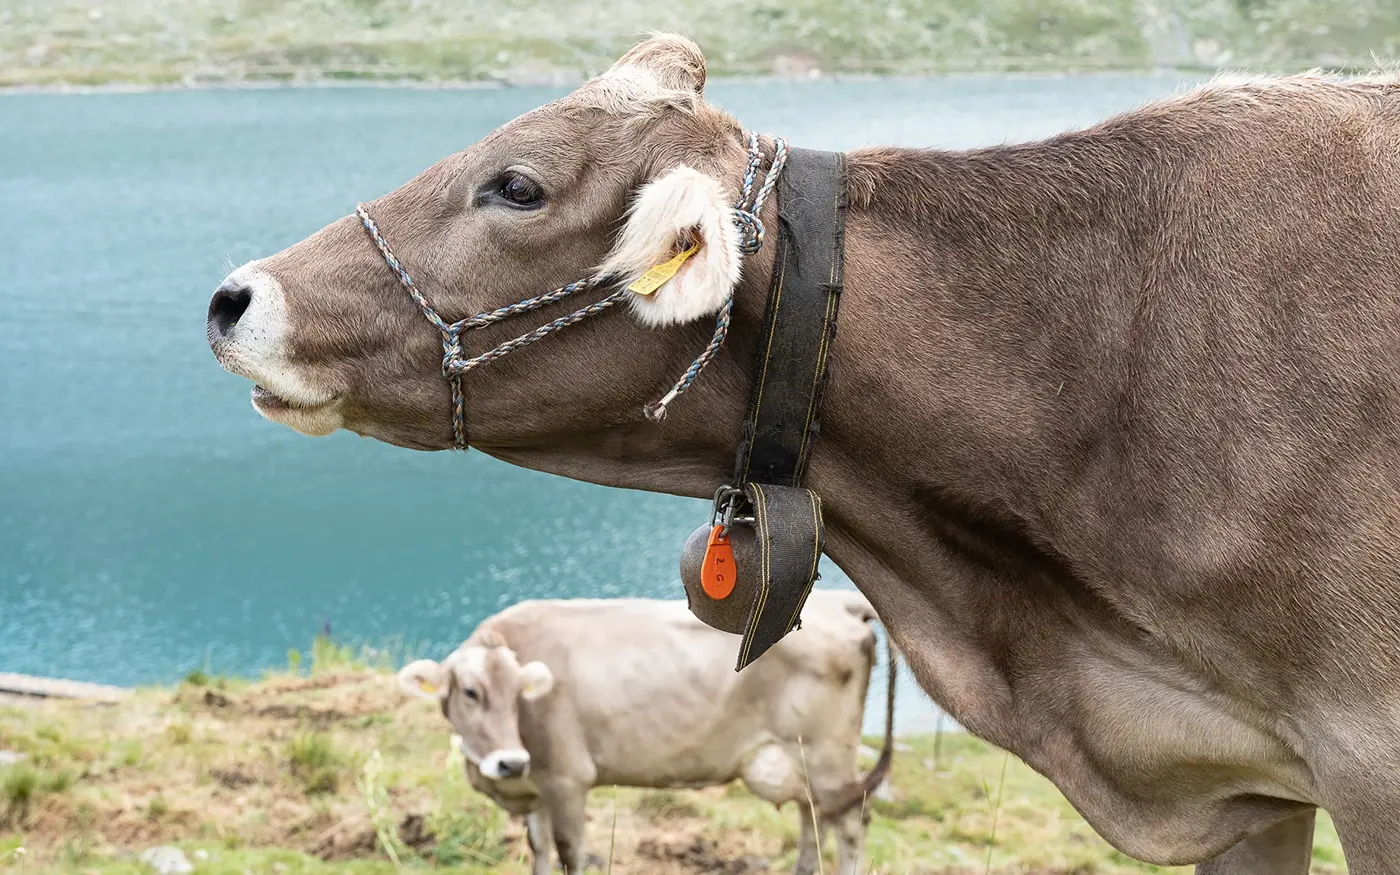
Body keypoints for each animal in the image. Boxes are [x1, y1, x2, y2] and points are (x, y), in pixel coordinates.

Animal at [395, 590, 896, 875]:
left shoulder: (567, 778)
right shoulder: (534, 790)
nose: (511, 761)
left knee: (850, 822)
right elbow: (538, 850)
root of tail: (841, 599)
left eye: (520, 693)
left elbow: (569, 852)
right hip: (800, 762)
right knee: (814, 819)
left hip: (828, 756)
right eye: (470, 692)